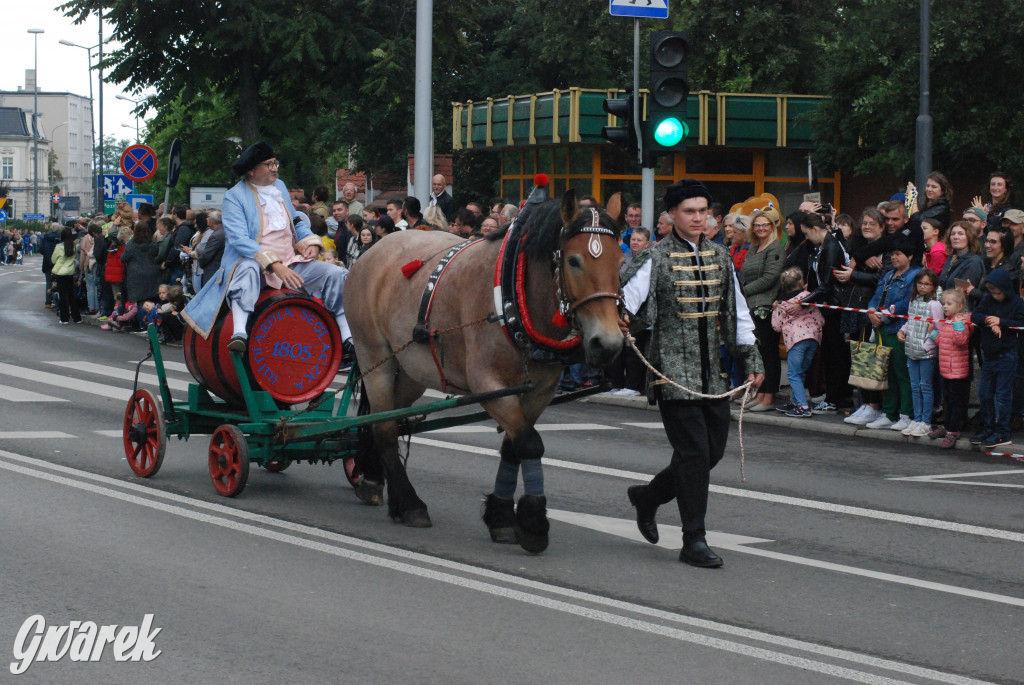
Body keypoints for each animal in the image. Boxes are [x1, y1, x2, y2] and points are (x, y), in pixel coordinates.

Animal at [342, 187, 622, 548]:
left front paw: (502, 515)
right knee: (385, 426)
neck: (514, 297)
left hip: (412, 369)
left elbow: (515, 447)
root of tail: (373, 249)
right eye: (574, 261)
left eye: (620, 261)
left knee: (387, 415)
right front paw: (532, 522)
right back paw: (409, 503)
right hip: (374, 355)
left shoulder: (540, 391)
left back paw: (373, 478)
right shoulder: (489, 385)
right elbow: (529, 443)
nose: (608, 344)